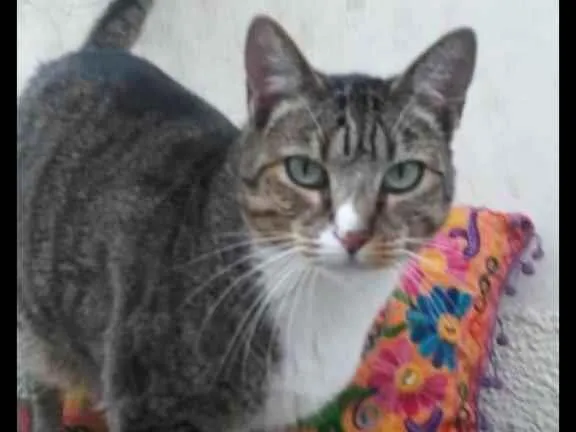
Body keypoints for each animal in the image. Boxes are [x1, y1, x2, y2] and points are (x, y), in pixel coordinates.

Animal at [17, 0, 477, 431]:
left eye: (403, 175)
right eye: (304, 170)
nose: (353, 234)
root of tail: (86, 53)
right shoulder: (149, 403)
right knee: (41, 377)